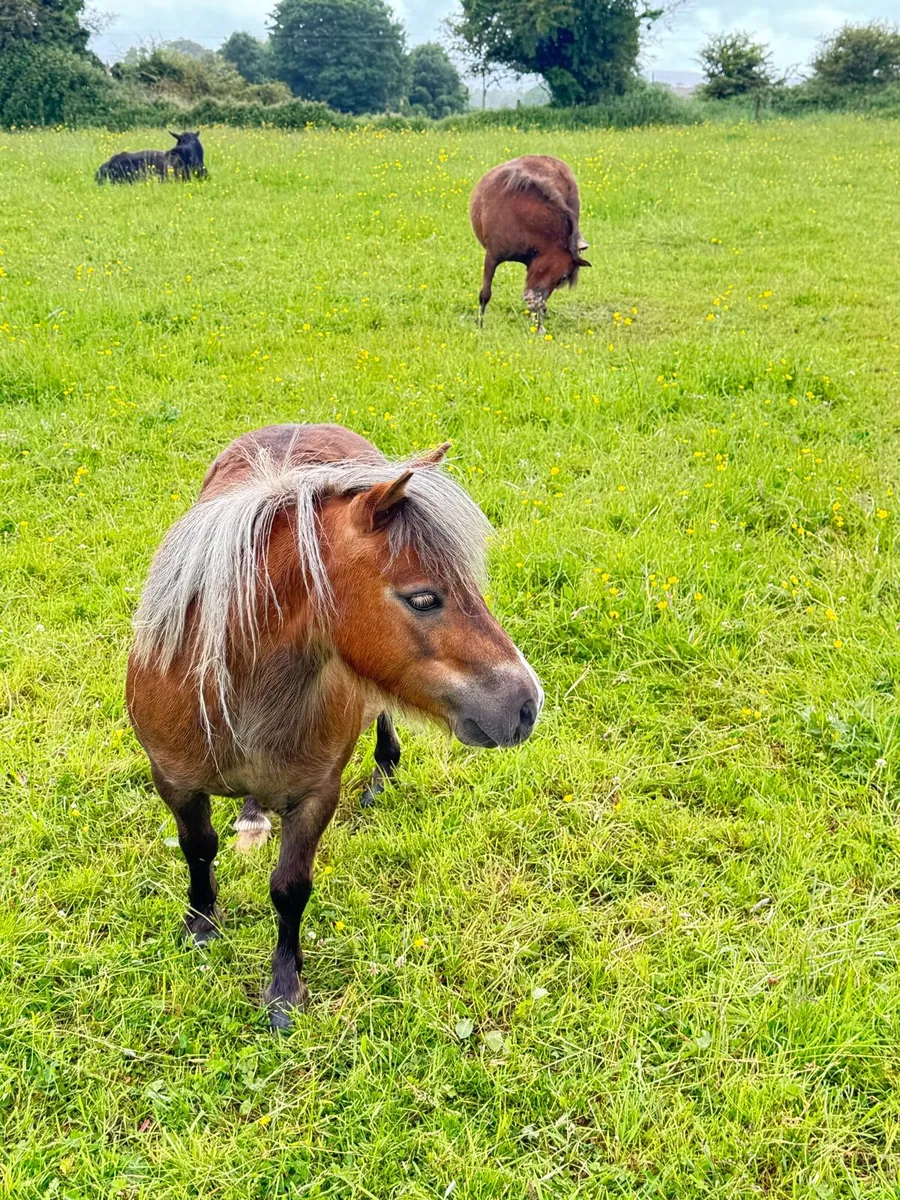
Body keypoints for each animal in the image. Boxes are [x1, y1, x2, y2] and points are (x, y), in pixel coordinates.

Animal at [126, 424, 543, 1030]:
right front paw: (201, 925)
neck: (234, 694)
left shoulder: (316, 796)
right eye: (423, 597)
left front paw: (284, 988)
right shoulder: (174, 782)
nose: (526, 704)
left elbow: (289, 889)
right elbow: (198, 848)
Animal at [469, 155, 591, 334]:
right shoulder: (492, 257)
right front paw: (480, 324)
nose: (532, 299)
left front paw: (539, 325)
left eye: (562, 279)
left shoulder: (533, 265)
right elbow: (485, 294)